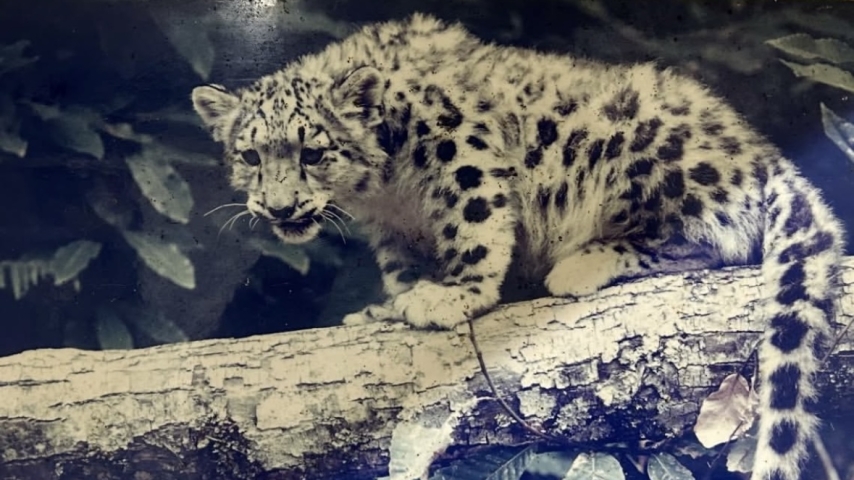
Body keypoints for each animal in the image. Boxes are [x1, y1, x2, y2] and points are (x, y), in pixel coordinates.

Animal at [191, 13, 845, 480]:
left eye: (313, 152)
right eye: (249, 155)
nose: (278, 207)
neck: (387, 191)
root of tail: (761, 153)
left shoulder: (463, 153)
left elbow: (475, 226)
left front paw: (456, 295)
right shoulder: (395, 229)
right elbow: (402, 269)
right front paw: (389, 308)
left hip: (645, 156)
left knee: (700, 238)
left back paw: (582, 264)